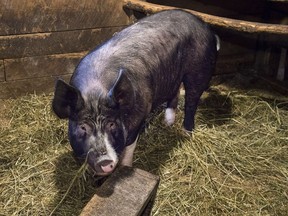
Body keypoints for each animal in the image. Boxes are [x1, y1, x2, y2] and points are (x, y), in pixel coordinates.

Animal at [52, 9, 218, 176]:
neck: (95, 91)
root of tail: (204, 25)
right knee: (175, 92)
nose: (105, 161)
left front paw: (125, 168)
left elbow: (129, 147)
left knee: (191, 101)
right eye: (82, 127)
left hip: (199, 70)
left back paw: (186, 133)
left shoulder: (139, 112)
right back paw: (167, 123)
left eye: (112, 124)